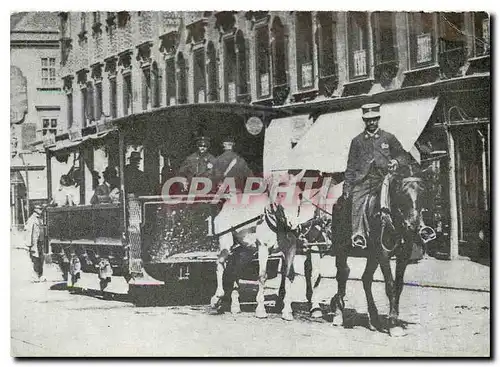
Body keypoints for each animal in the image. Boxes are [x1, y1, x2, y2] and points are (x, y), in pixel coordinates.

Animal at [328, 165, 434, 338]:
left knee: (366, 279)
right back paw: (338, 312)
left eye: (423, 192)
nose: (413, 226)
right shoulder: (383, 254)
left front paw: (394, 319)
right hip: (341, 248)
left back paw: (374, 318)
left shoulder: (403, 255)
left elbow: (399, 285)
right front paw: (393, 324)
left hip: (372, 255)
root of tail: (339, 202)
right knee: (342, 273)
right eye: (402, 193)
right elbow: (390, 285)